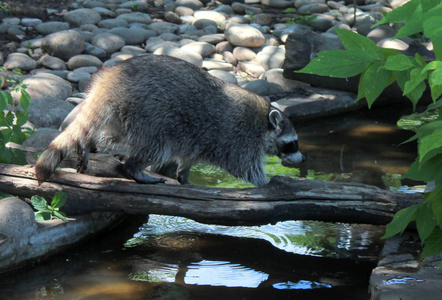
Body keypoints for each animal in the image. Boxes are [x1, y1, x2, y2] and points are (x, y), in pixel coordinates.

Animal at [34, 54, 304, 185]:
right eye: (293, 143)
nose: (302, 159)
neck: (263, 122)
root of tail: (111, 81)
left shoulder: (201, 141)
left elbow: (189, 157)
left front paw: (184, 175)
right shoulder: (239, 136)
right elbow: (246, 167)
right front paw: (266, 183)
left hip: (124, 116)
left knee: (108, 135)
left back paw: (88, 145)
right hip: (150, 112)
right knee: (156, 147)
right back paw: (134, 168)